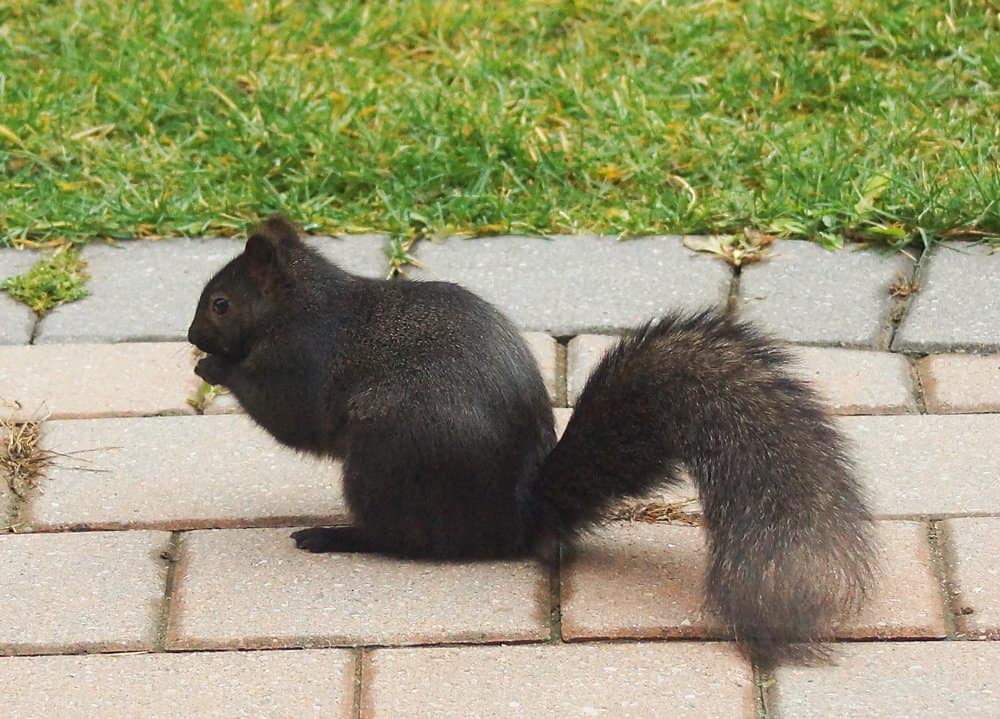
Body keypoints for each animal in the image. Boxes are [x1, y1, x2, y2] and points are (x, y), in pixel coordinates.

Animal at [188, 217, 876, 668]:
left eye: (220, 303)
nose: (191, 335)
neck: (301, 304)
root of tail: (516, 516)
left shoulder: (303, 360)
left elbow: (288, 416)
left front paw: (214, 369)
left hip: (383, 461)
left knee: (406, 539)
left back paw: (335, 536)